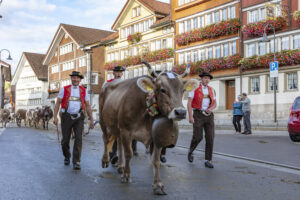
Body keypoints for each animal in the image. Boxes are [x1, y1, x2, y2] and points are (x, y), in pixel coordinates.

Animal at [98, 61, 197, 195]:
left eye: (183, 90)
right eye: (162, 90)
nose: (180, 112)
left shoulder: (154, 135)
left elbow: (156, 160)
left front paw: (158, 185)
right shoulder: (126, 130)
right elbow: (129, 153)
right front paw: (127, 176)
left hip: (117, 128)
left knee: (118, 144)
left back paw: (120, 166)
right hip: (103, 121)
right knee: (105, 139)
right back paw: (106, 160)